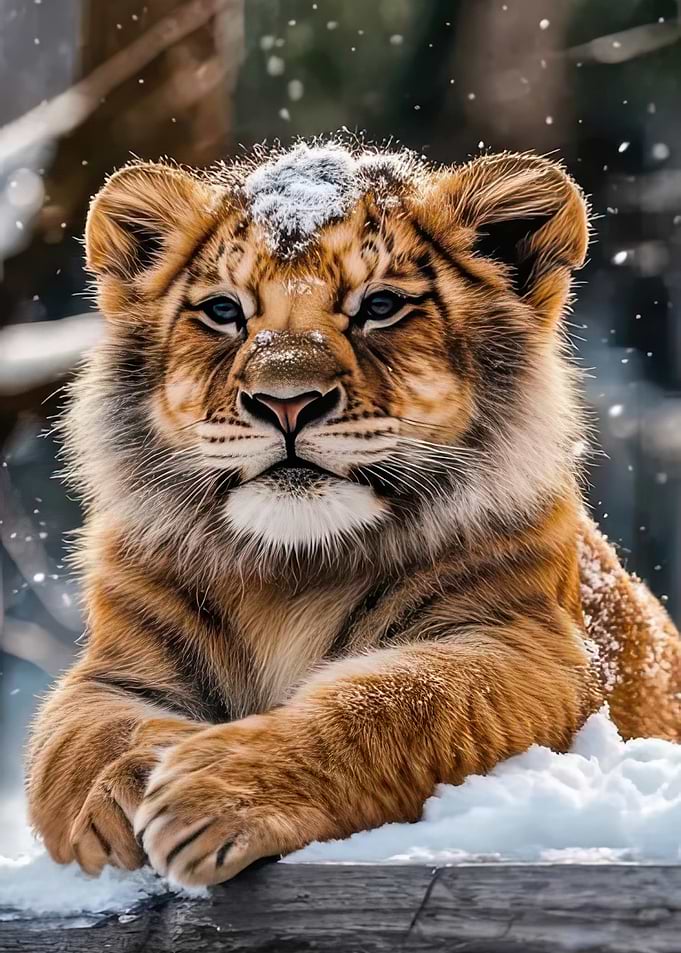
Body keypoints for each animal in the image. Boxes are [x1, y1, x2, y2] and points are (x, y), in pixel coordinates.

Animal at [26, 140, 681, 887]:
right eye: (223, 310)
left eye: (381, 305)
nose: (285, 401)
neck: (291, 567)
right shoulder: (113, 671)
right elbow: (80, 740)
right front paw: (122, 793)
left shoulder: (529, 646)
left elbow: (398, 705)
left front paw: (209, 791)